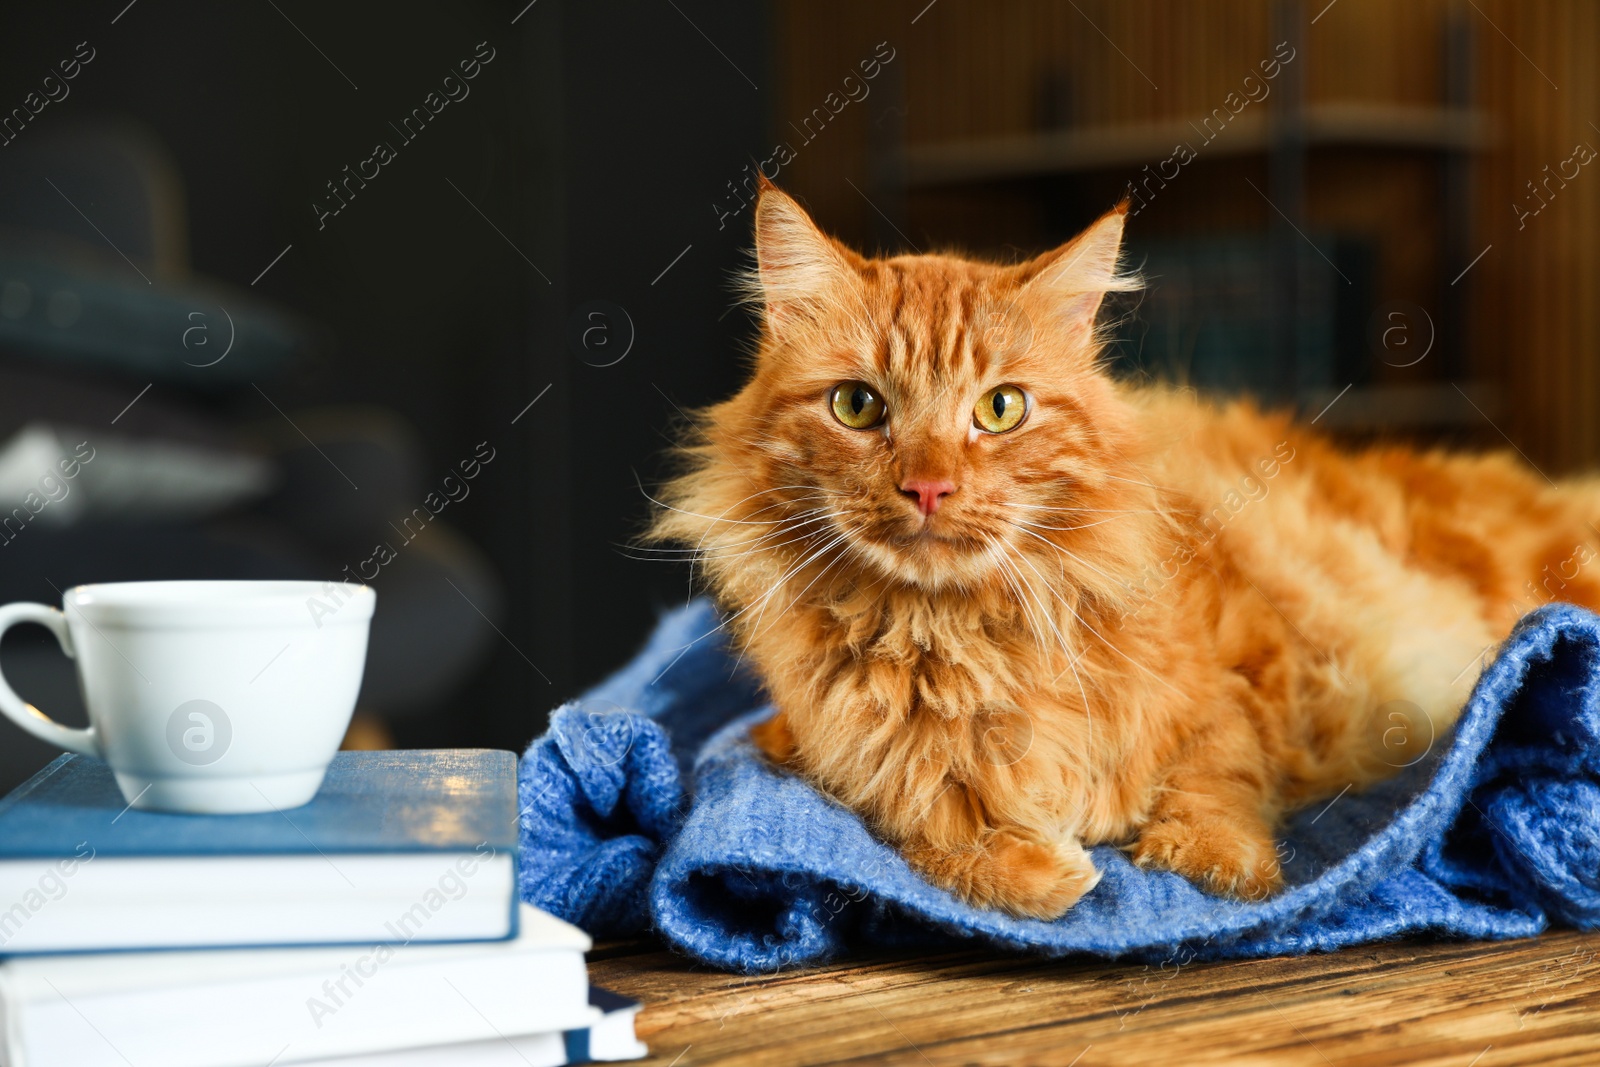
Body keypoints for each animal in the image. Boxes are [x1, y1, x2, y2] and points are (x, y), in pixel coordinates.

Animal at [646, 181, 1600, 921]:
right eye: (857, 406)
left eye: (999, 409)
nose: (928, 488)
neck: (959, 636)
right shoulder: (803, 750)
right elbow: (927, 836)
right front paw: (1042, 868)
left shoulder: (1254, 664)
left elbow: (1218, 771)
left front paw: (1210, 859)